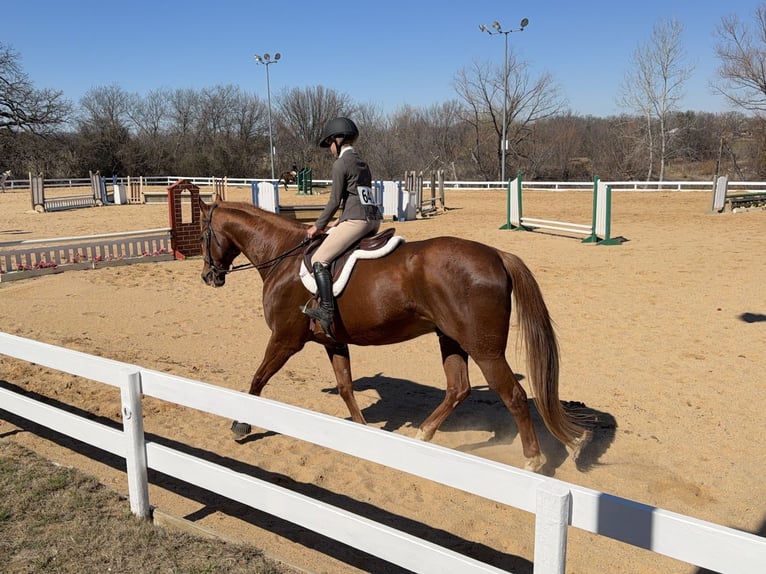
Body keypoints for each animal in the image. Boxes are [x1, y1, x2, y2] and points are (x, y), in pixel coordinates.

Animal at [198, 200, 587, 471]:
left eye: (202, 235)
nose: (208, 277)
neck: (283, 257)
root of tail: (497, 254)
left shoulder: (284, 339)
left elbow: (257, 380)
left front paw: (241, 424)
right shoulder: (333, 341)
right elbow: (345, 388)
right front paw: (363, 434)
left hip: (485, 349)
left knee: (514, 396)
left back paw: (533, 461)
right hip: (451, 339)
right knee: (458, 388)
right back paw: (423, 435)